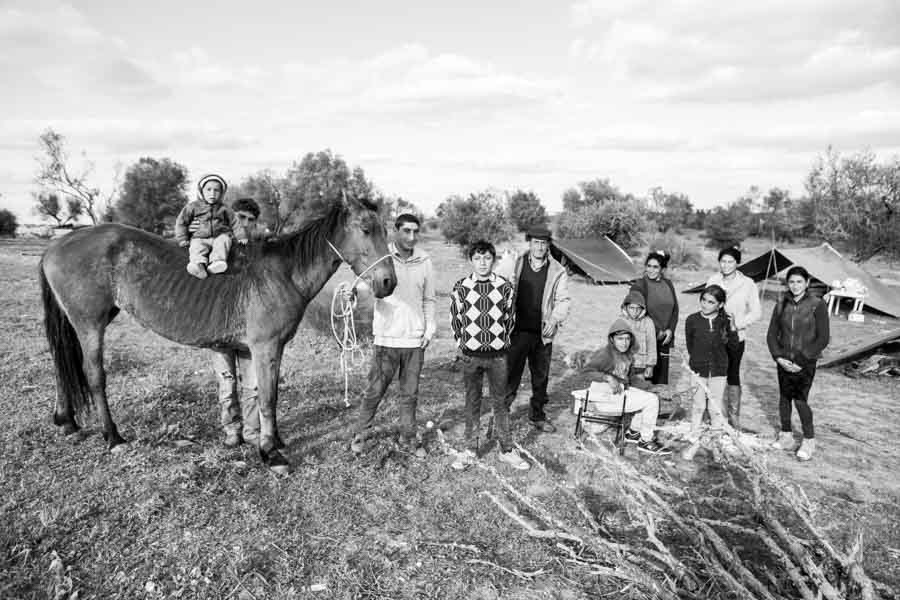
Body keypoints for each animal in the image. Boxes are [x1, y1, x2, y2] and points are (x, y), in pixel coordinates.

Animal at [39, 193, 397, 473]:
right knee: (94, 376)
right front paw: (271, 453)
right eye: (366, 229)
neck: (284, 272)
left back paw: (67, 422)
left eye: (386, 229)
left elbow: (264, 396)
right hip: (90, 324)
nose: (388, 282)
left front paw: (273, 440)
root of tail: (59, 243)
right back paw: (113, 437)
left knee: (60, 365)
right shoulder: (265, 347)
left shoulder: (264, 349)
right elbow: (267, 398)